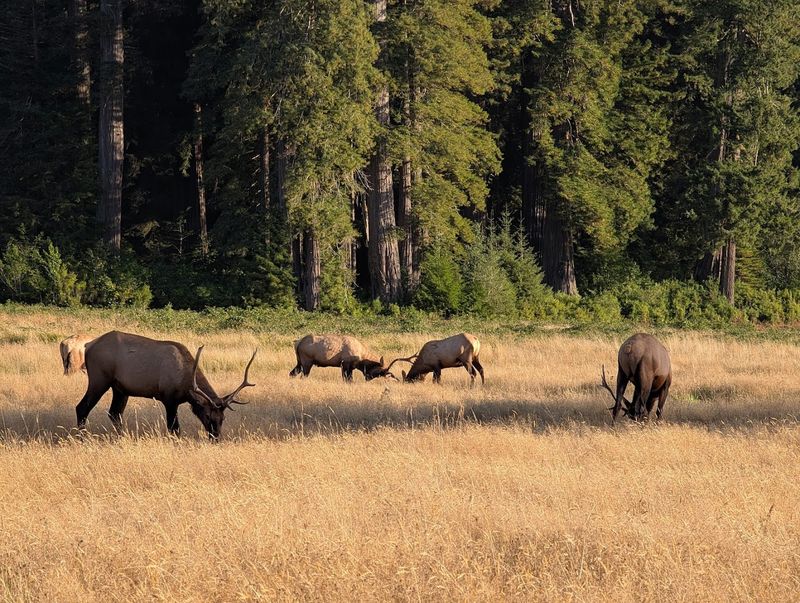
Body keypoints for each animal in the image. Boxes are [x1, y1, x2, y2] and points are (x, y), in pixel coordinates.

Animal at [76, 330, 256, 438]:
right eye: (207, 415)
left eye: (222, 418)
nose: (216, 437)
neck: (186, 384)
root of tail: (87, 346)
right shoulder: (169, 398)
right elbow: (174, 429)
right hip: (99, 379)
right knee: (82, 407)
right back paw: (82, 438)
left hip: (120, 389)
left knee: (115, 413)